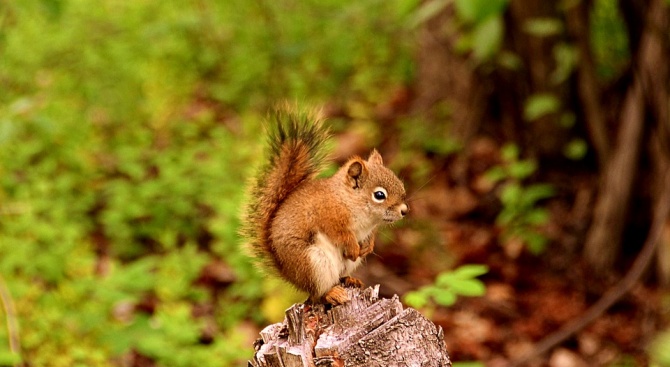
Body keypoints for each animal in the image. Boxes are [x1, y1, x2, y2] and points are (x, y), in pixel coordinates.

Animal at [242, 107, 410, 308]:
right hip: (313, 264)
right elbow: (341, 235)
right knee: (317, 295)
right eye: (379, 195)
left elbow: (369, 238)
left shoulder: (370, 228)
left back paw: (350, 280)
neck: (348, 200)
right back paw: (331, 293)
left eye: (399, 182)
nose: (404, 211)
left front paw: (367, 247)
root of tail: (289, 274)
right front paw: (353, 248)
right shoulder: (327, 216)